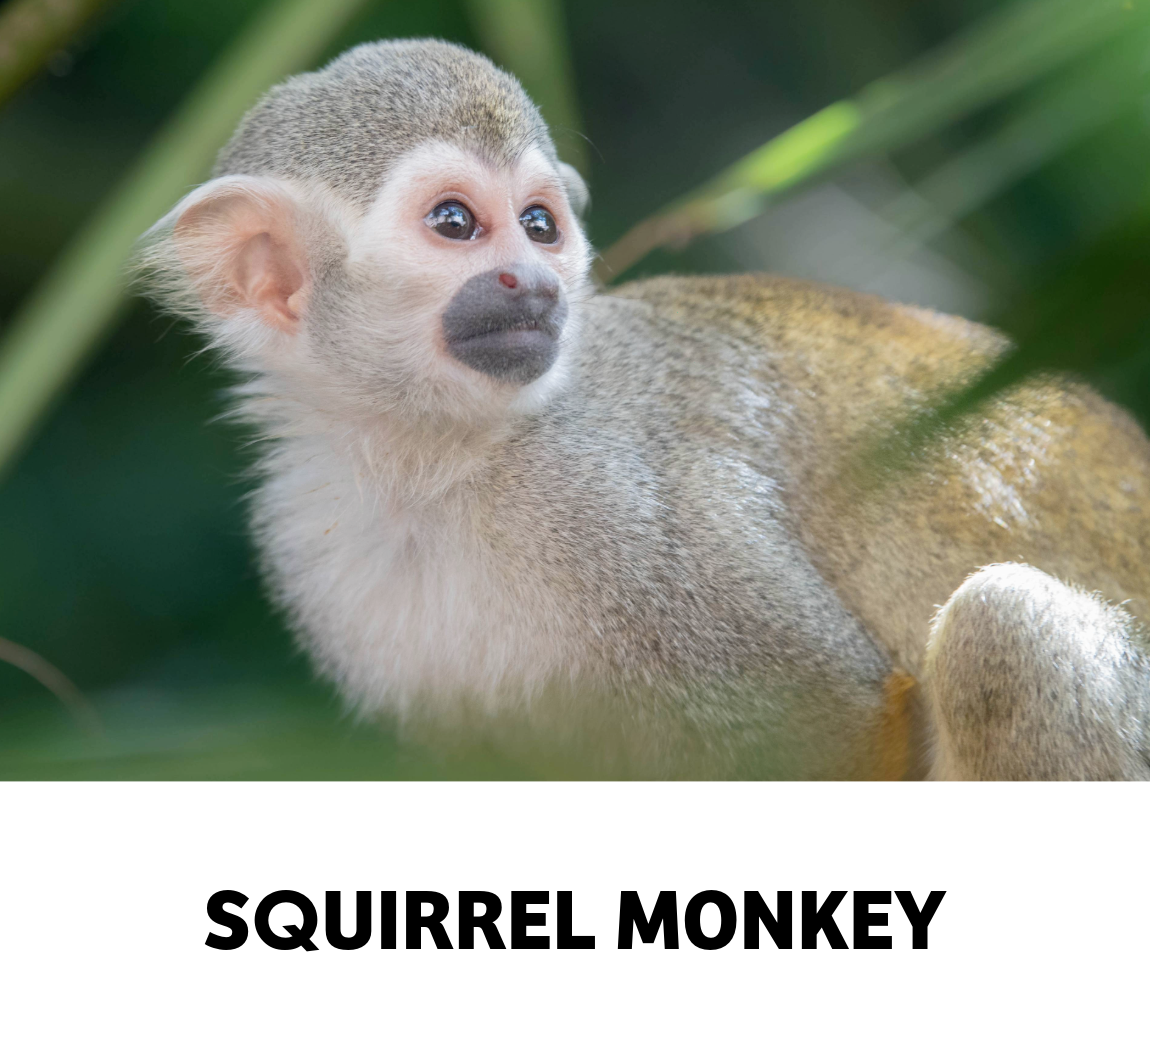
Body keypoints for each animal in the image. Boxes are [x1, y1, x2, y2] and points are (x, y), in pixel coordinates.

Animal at [137, 38, 1150, 779]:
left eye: (539, 225)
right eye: (456, 222)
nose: (536, 282)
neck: (439, 459)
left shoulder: (618, 500)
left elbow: (833, 711)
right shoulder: (308, 544)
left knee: (1001, 630)